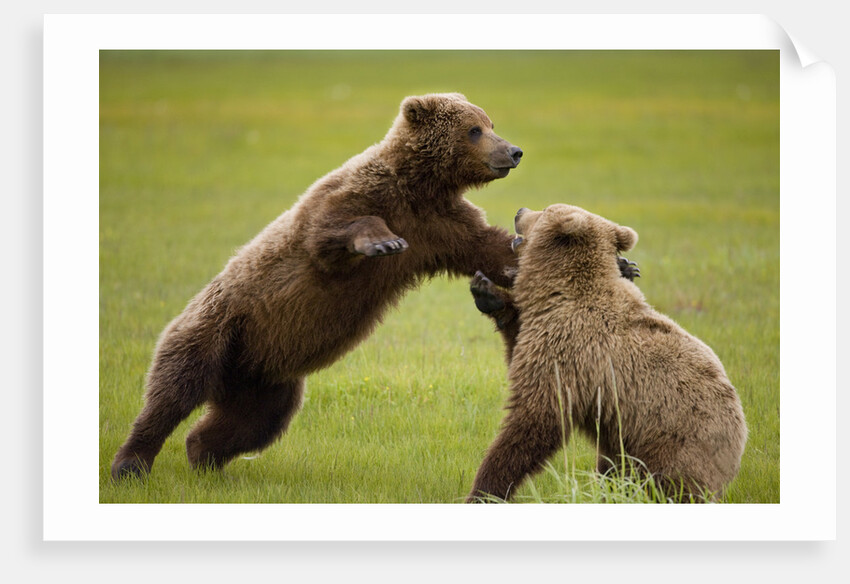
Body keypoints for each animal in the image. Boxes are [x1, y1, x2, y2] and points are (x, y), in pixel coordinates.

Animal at [110, 93, 525, 480]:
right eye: (474, 129)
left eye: (489, 123)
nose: (514, 151)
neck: (419, 186)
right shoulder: (357, 198)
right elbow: (328, 232)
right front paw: (384, 242)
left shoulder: (442, 225)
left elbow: (488, 246)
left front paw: (519, 250)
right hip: (216, 328)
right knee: (174, 390)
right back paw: (131, 463)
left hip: (263, 379)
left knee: (252, 421)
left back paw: (206, 460)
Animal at [466, 204, 747, 502]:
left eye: (545, 209)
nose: (520, 210)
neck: (561, 291)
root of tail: (740, 438)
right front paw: (487, 292)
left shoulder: (572, 351)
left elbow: (537, 417)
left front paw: (485, 490)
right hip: (626, 440)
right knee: (612, 468)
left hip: (674, 442)